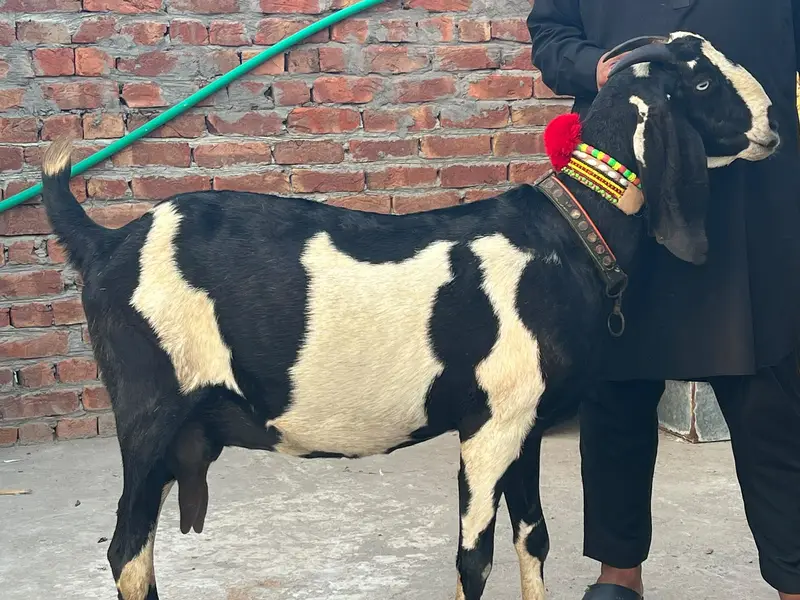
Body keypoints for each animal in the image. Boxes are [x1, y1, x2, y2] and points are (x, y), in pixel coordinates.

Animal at [39, 31, 777, 600]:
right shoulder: (489, 424)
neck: (568, 231)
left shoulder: (527, 424)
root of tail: (105, 243)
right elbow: (473, 559)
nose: (773, 120)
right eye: (701, 82)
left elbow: (534, 537)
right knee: (127, 550)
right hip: (151, 412)